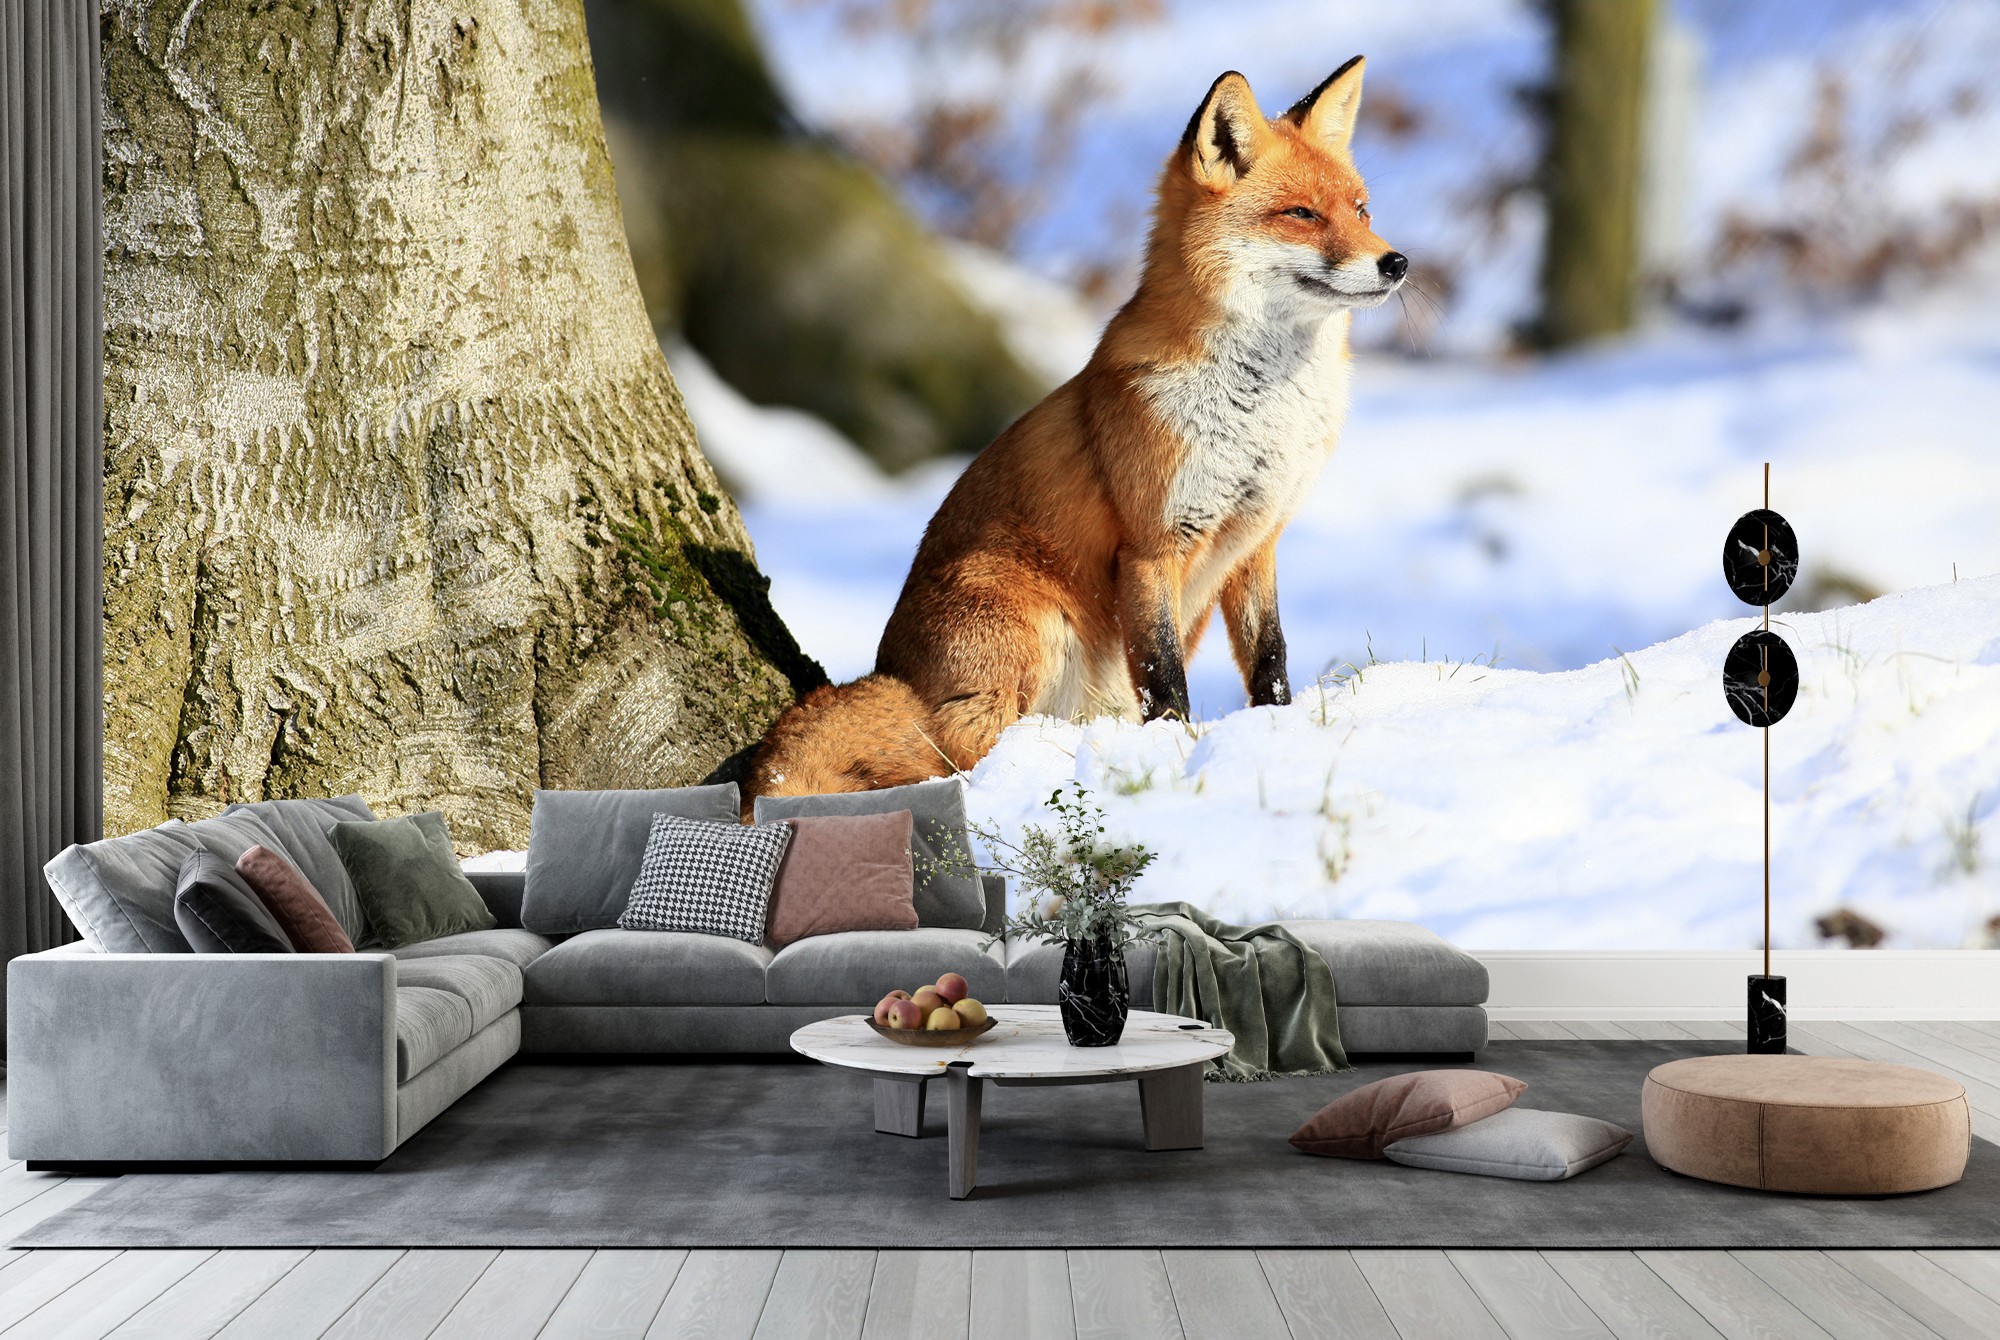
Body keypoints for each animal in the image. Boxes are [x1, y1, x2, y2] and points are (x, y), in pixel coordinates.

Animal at [745, 58, 1406, 802]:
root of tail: (897, 671)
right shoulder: (1151, 546)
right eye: (1301, 214)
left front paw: (1275, 731)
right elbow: (1163, 678)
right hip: (1029, 624)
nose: (1397, 262)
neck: (1261, 412)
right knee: (957, 749)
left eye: (1362, 210)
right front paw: (1172, 756)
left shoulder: (1257, 540)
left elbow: (1270, 660)